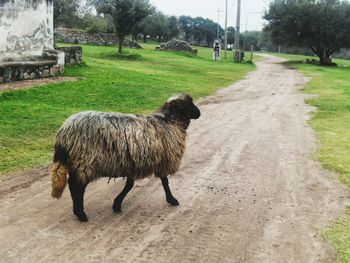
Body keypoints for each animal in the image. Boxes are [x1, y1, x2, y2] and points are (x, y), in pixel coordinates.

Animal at [50, 94, 201, 222]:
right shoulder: (162, 160)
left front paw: (117, 204)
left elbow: (130, 185)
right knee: (76, 187)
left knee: (73, 186)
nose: (199, 113)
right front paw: (172, 199)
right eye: (189, 104)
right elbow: (164, 182)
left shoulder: (135, 163)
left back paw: (78, 212)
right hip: (85, 161)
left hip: (77, 161)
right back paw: (81, 214)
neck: (169, 122)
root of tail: (64, 131)